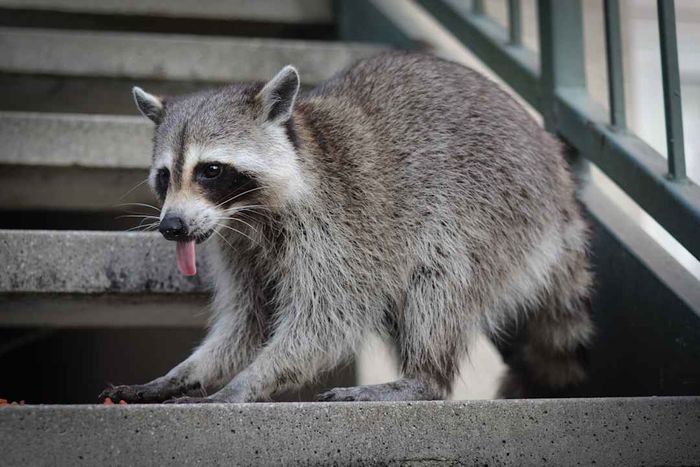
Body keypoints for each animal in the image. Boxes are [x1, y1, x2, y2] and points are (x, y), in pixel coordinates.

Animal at [99, 52, 593, 403]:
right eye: (165, 176)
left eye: (211, 170)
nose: (172, 227)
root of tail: (560, 182)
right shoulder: (238, 245)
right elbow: (248, 323)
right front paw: (184, 374)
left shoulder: (341, 224)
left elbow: (329, 317)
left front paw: (244, 384)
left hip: (497, 207)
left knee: (440, 280)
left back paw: (424, 378)